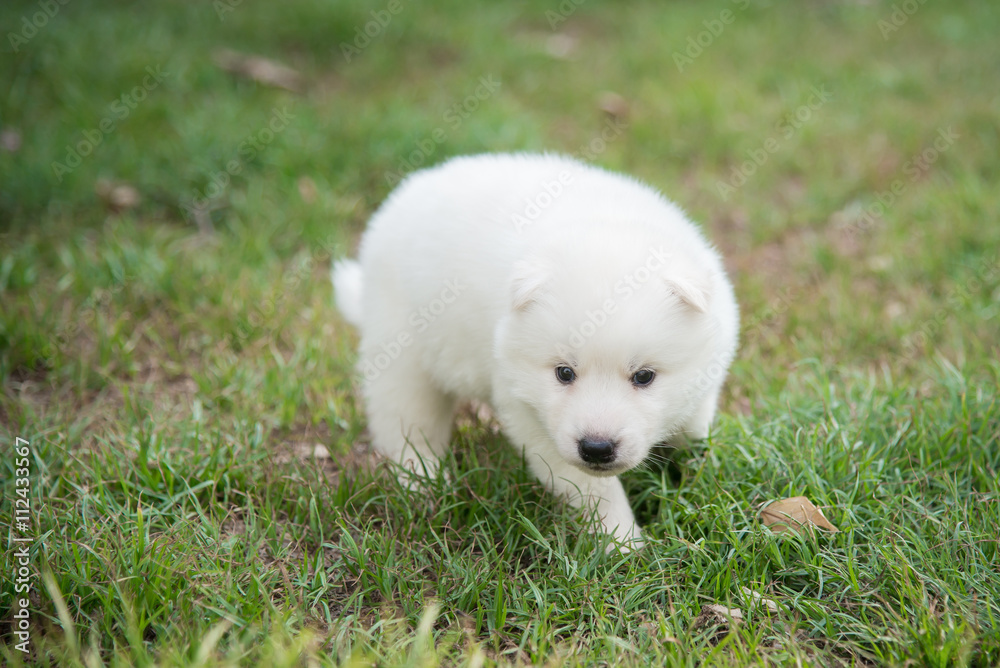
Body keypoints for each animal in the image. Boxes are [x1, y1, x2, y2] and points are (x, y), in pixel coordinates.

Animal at [334, 154, 736, 544]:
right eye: (564, 373)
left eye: (644, 376)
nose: (596, 448)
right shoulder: (529, 416)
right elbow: (597, 491)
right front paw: (624, 544)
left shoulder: (705, 382)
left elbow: (696, 430)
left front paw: (705, 476)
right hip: (402, 352)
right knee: (406, 425)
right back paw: (424, 484)